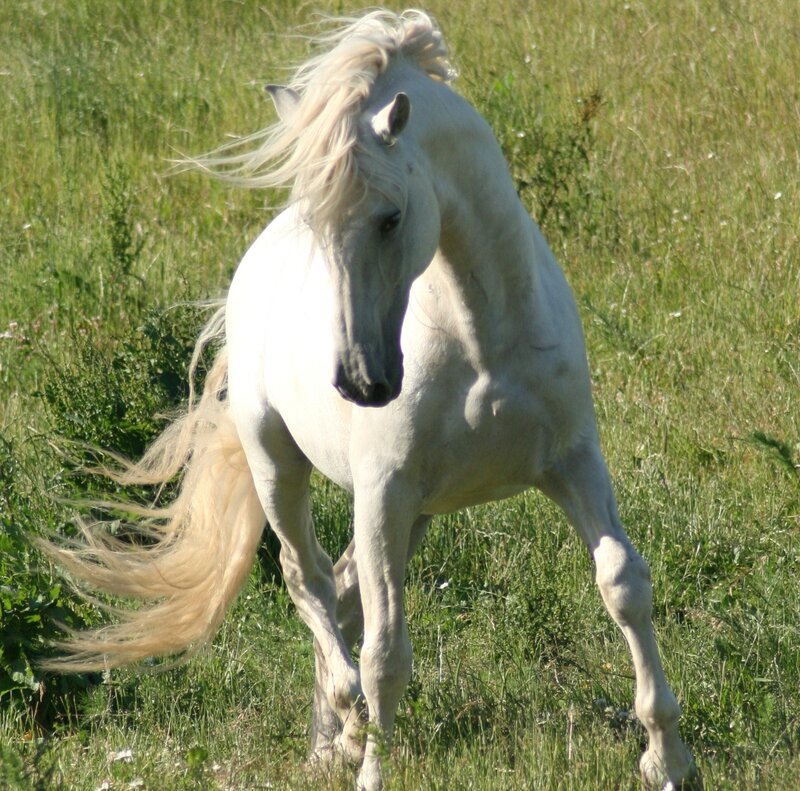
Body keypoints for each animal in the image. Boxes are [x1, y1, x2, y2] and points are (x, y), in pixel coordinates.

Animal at [44, 10, 697, 790]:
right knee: (312, 583)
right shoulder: (384, 489)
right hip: (281, 467)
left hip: (415, 512)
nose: (361, 381)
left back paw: (334, 738)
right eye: (319, 223)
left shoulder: (570, 463)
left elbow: (623, 583)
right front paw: (374, 766)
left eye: (389, 218)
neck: (483, 343)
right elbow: (386, 653)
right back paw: (343, 723)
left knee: (348, 589)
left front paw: (667, 756)